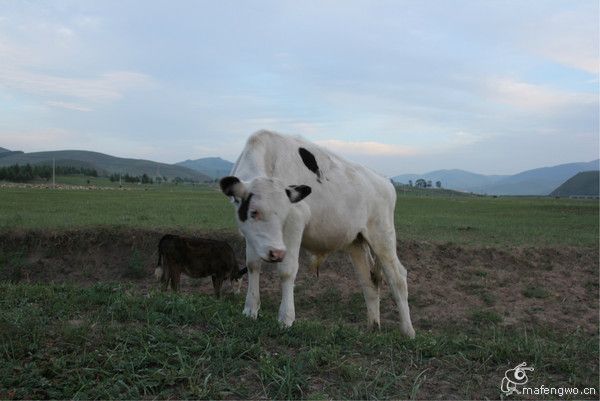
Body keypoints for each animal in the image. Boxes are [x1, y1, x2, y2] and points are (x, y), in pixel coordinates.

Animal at [220, 130, 418, 336]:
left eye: (285, 213)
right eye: (253, 212)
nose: (276, 252)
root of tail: (384, 180)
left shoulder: (295, 221)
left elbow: (287, 270)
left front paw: (286, 318)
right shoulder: (251, 235)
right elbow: (253, 265)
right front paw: (250, 310)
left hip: (382, 235)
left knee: (397, 278)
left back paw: (408, 331)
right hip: (356, 241)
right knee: (368, 282)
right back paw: (372, 327)